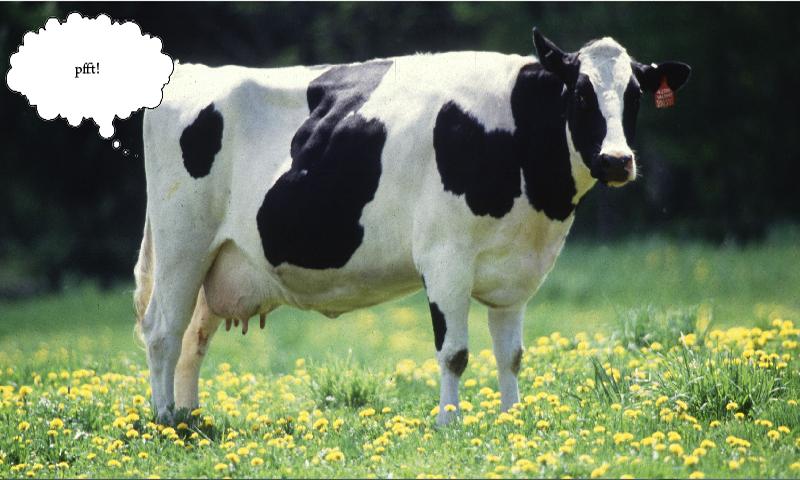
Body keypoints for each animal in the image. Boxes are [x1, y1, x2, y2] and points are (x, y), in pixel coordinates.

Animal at [133, 28, 690, 425]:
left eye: (635, 95)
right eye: (580, 94)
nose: (616, 161)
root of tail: (192, 73)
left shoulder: (515, 273)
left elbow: (510, 355)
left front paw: (512, 419)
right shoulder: (445, 258)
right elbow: (455, 353)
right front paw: (449, 424)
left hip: (218, 261)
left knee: (193, 340)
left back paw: (192, 417)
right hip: (182, 244)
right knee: (163, 331)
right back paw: (166, 421)